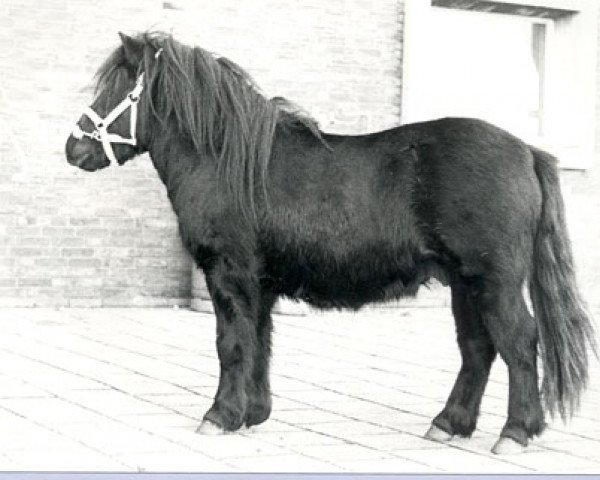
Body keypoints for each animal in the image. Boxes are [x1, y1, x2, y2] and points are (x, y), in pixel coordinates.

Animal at [64, 33, 596, 454]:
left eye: (118, 89)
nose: (74, 148)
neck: (229, 161)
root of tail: (527, 151)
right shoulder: (260, 284)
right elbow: (260, 342)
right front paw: (253, 414)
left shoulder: (229, 275)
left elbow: (231, 343)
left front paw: (219, 416)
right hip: (465, 284)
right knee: (478, 348)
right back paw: (449, 424)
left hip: (492, 281)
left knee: (519, 342)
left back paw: (516, 432)